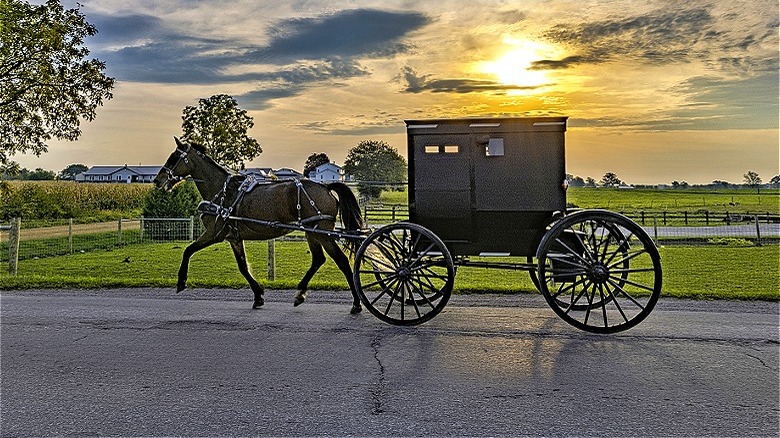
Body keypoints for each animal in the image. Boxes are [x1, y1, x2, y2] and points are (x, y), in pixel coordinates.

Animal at [153, 139, 366, 314]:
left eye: (174, 158)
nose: (157, 180)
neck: (223, 191)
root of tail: (325, 187)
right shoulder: (233, 237)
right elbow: (242, 266)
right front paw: (258, 296)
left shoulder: (214, 233)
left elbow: (188, 250)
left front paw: (181, 281)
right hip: (311, 232)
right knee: (318, 260)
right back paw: (300, 294)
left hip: (322, 232)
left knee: (341, 261)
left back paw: (356, 303)